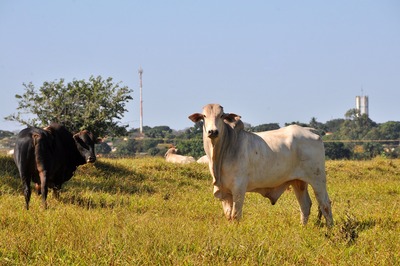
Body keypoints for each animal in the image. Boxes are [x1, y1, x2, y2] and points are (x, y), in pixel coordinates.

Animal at [189, 104, 332, 227]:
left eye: (222, 115)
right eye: (204, 116)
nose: (213, 131)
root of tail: (311, 130)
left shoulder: (239, 188)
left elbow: (236, 215)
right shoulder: (225, 191)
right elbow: (228, 215)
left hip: (317, 179)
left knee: (325, 204)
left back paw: (330, 231)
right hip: (298, 181)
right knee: (305, 205)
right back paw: (303, 228)